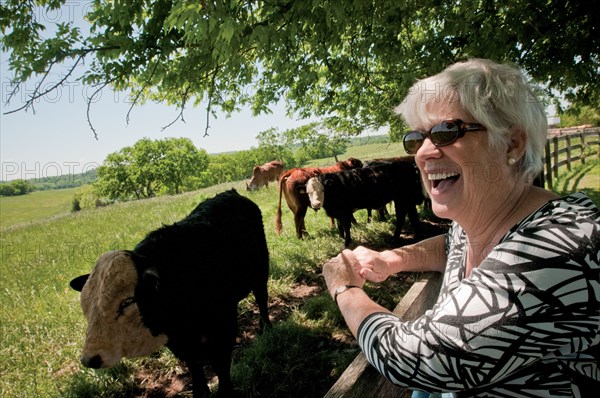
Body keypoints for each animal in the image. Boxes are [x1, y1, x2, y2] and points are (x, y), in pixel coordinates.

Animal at [68, 190, 272, 398]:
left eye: (127, 302)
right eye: (86, 308)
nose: (90, 358)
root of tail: (230, 192)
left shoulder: (223, 324)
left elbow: (220, 364)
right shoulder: (178, 340)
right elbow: (194, 365)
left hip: (261, 272)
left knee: (262, 300)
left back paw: (266, 329)